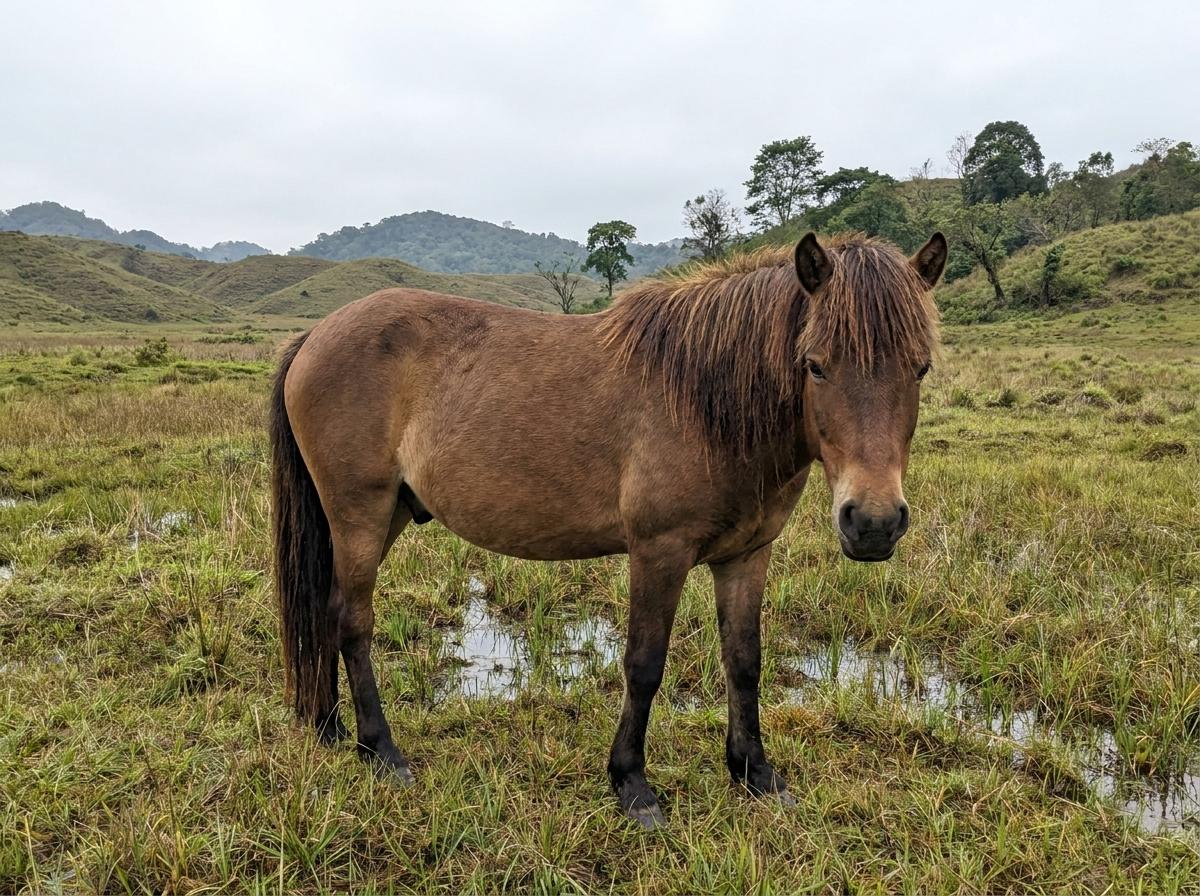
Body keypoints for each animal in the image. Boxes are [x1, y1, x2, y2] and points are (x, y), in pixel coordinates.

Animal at [270, 231, 946, 829]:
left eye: (920, 368)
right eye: (816, 366)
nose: (874, 523)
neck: (704, 400)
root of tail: (315, 335)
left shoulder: (747, 555)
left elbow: (744, 661)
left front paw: (755, 774)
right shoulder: (658, 552)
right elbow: (644, 664)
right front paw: (633, 785)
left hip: (384, 516)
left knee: (328, 611)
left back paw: (330, 729)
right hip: (359, 513)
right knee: (354, 623)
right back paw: (381, 750)